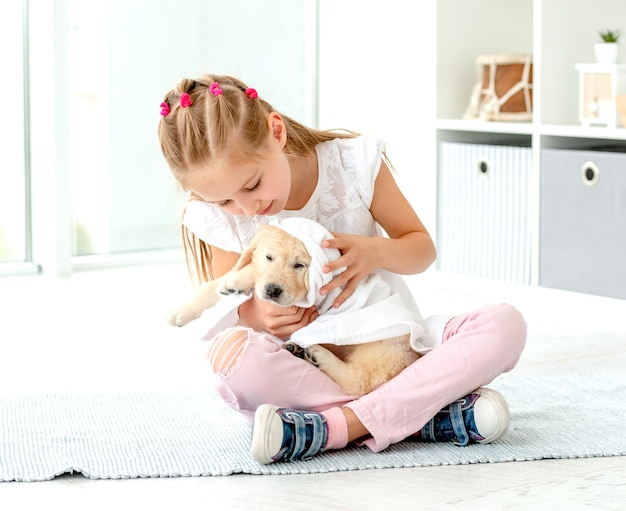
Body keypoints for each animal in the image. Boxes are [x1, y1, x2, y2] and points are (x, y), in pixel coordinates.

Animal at [166, 220, 420, 396]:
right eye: (269, 257)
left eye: (299, 265)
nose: (272, 291)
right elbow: (215, 284)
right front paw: (180, 313)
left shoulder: (309, 295)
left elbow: (252, 273)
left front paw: (235, 281)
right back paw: (299, 351)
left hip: (383, 347)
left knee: (360, 382)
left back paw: (318, 354)